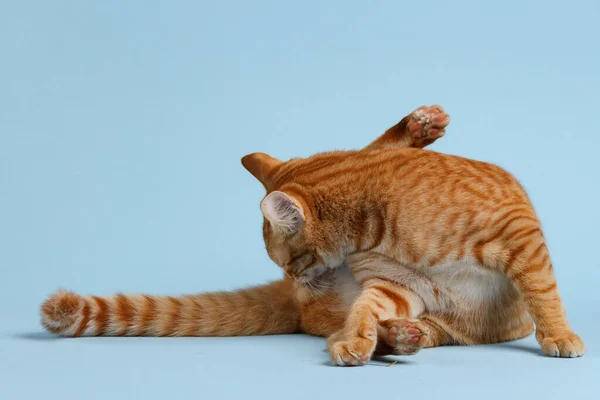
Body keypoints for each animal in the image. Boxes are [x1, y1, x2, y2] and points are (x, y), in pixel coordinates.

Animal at [39, 105, 584, 366]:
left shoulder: (520, 236)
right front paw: (358, 338)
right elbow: (366, 309)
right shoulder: (396, 285)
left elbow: (543, 291)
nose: (295, 277)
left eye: (288, 259)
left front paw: (558, 334)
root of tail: (297, 301)